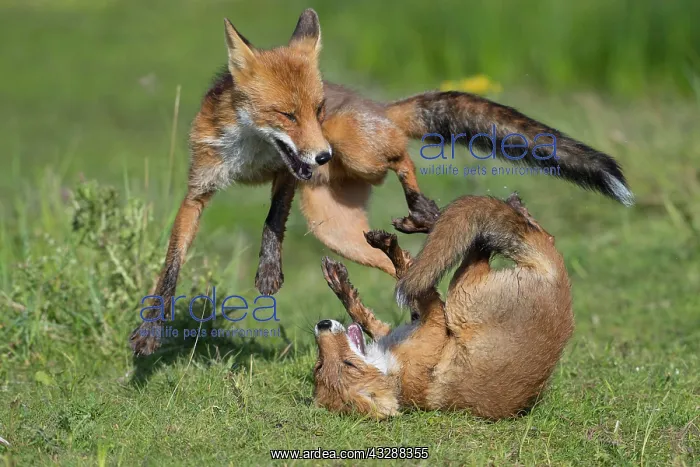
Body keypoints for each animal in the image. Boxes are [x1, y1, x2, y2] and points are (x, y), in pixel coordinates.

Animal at [129, 8, 630, 355]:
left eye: (315, 109)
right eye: (286, 114)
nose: (322, 156)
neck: (252, 154)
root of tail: (377, 107)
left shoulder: (288, 174)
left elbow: (272, 220)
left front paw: (268, 270)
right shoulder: (201, 190)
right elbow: (171, 264)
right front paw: (151, 331)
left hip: (357, 148)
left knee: (402, 156)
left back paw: (421, 209)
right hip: (339, 234)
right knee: (409, 268)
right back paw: (417, 243)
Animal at [313, 193, 574, 420]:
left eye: (317, 366)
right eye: (347, 365)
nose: (322, 325)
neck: (391, 371)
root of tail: (555, 273)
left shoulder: (403, 328)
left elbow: (365, 314)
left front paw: (340, 284)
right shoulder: (435, 323)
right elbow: (410, 276)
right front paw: (389, 250)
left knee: (539, 233)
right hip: (461, 295)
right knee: (483, 245)